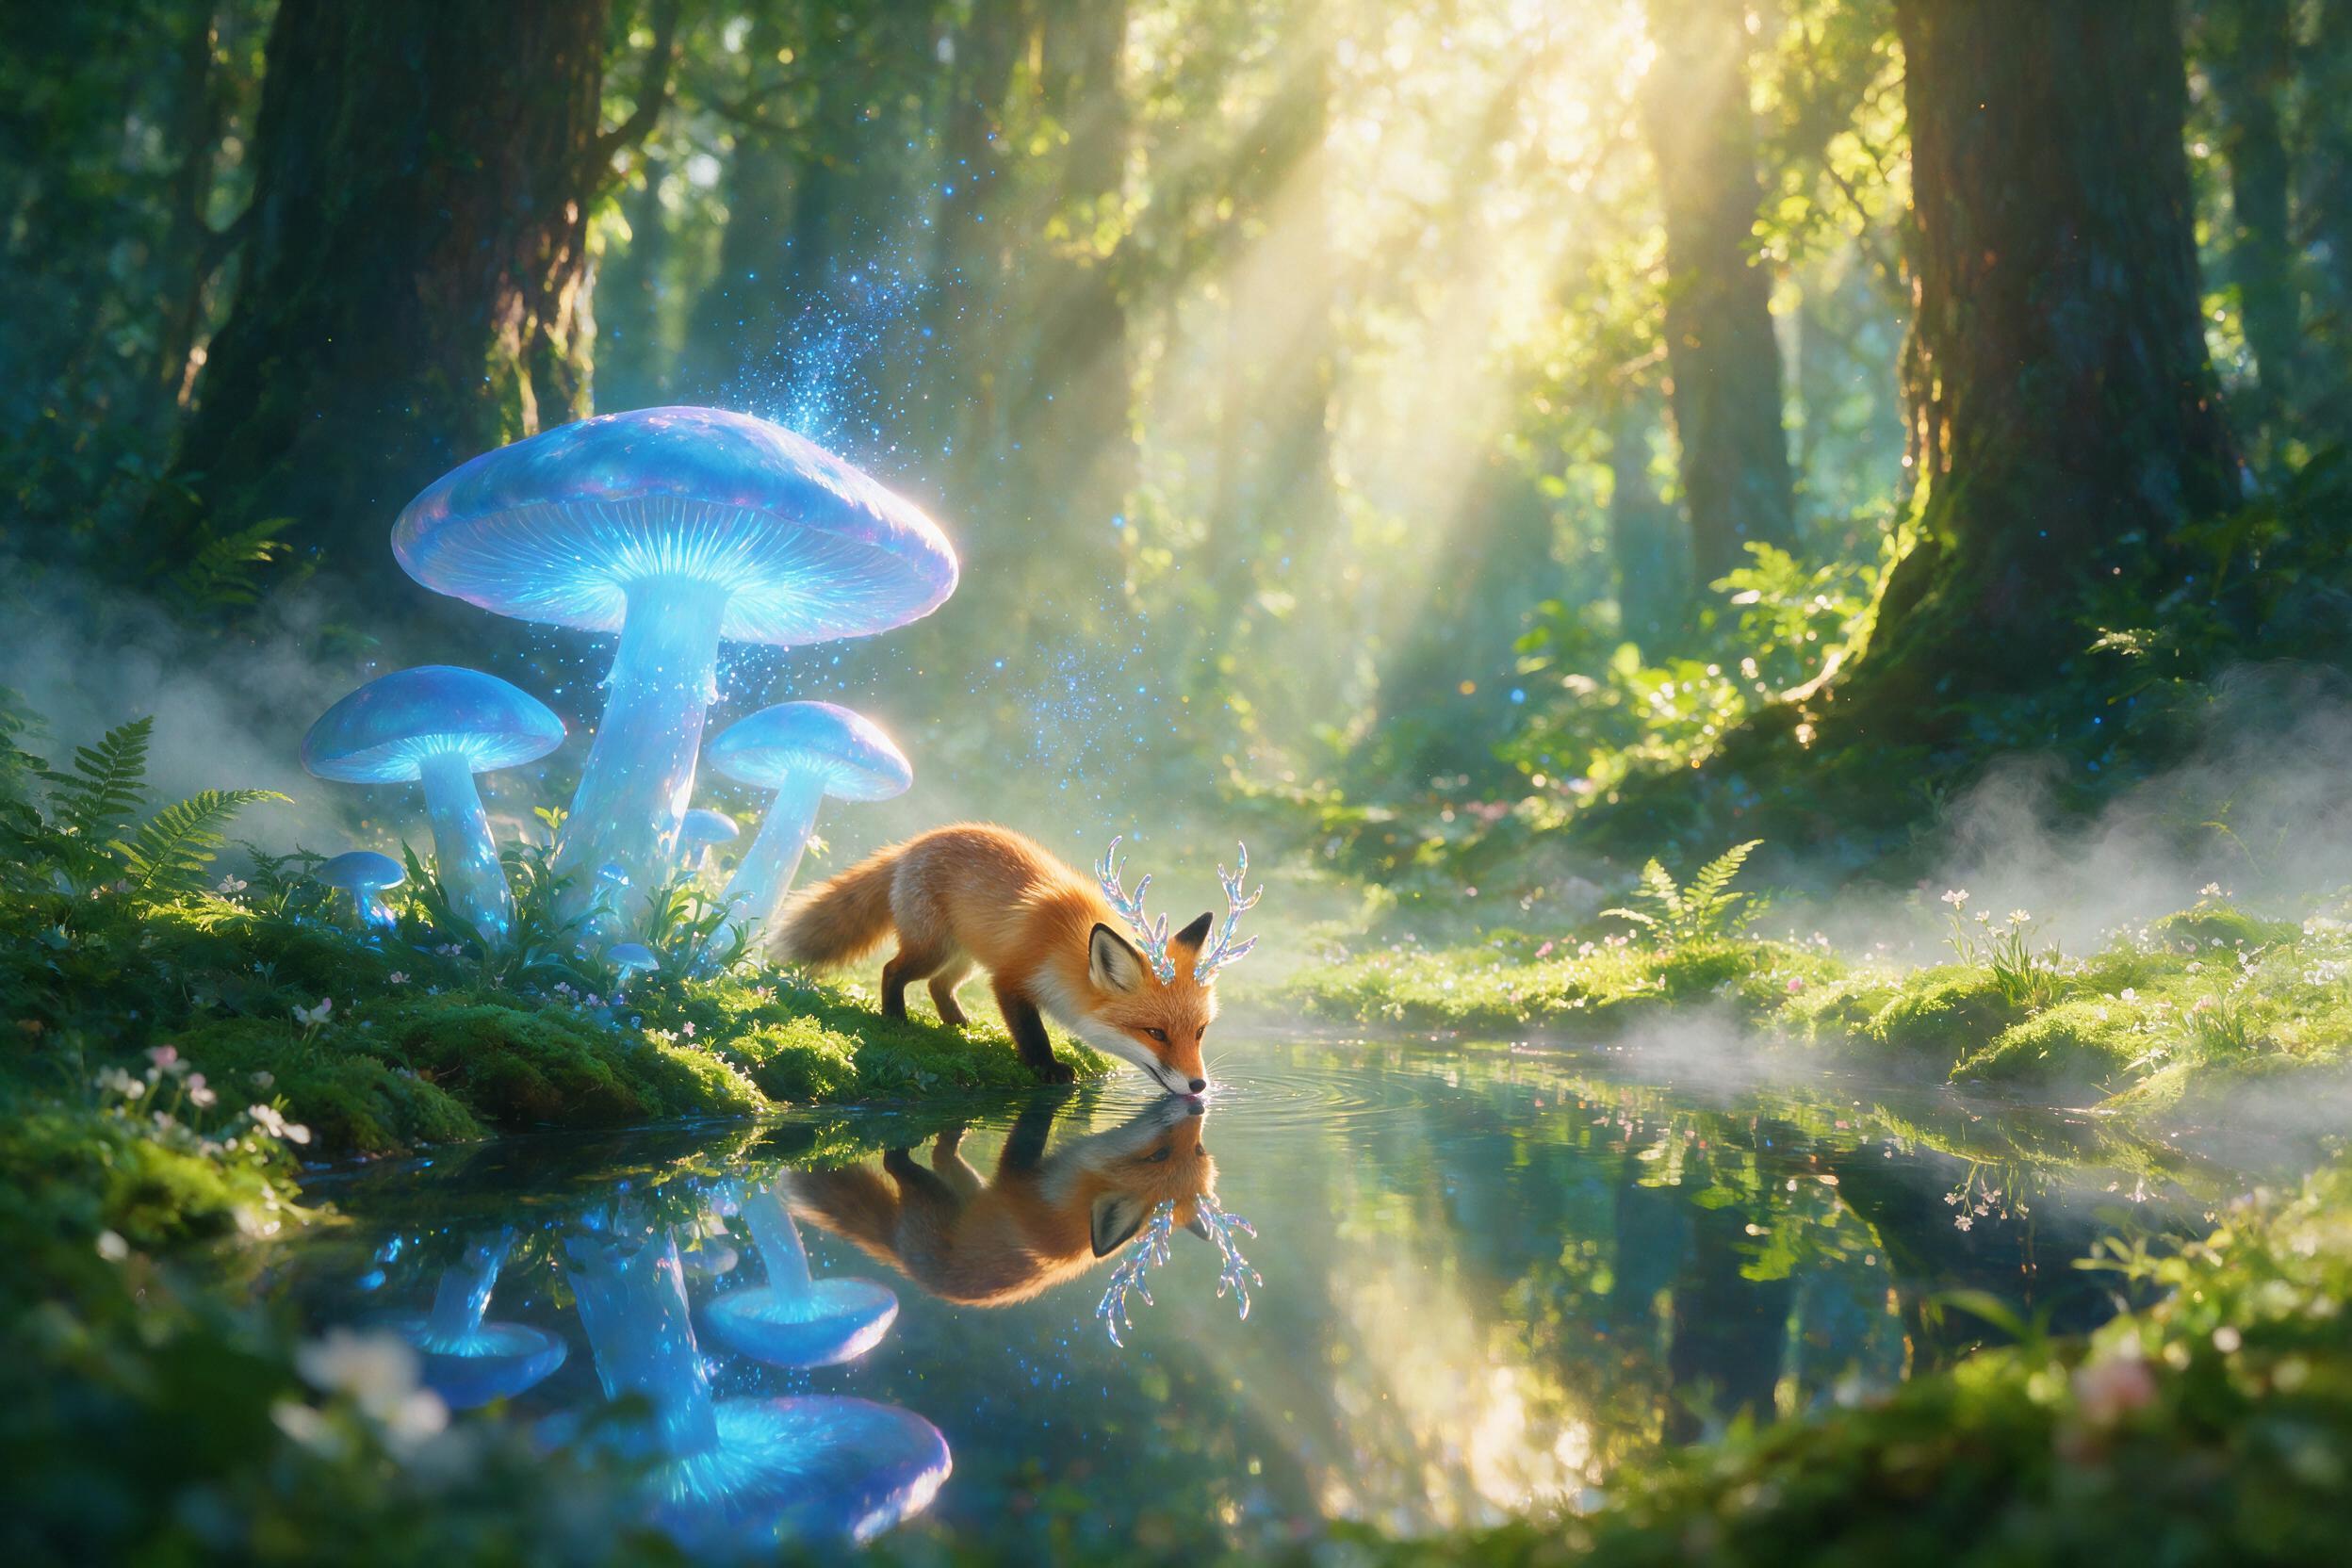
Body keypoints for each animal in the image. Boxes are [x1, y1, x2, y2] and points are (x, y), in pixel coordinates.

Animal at [774, 824, 1256, 1096]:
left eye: (1199, 1032)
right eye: (1155, 1033)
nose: (1199, 1085)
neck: (1064, 947)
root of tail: (912, 845)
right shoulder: (1009, 978)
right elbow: (1032, 1032)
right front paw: (1048, 1068)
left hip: (964, 957)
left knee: (938, 987)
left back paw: (960, 1027)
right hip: (934, 950)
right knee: (893, 971)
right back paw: (895, 1018)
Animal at [785, 1094, 1219, 1306]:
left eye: (1195, 1148)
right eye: (1160, 1155)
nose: (1197, 1104)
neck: (1068, 1210)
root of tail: (908, 1267)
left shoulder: (1016, 1179)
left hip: (931, 1197)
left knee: (900, 1164)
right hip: (963, 1187)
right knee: (942, 1155)